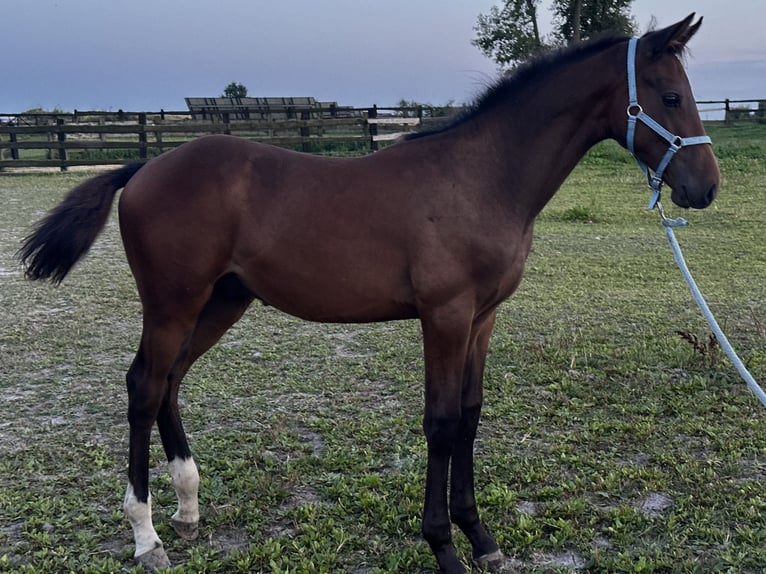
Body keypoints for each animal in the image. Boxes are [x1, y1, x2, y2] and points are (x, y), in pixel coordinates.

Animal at [18, 14, 719, 573]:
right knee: (143, 387)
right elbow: (441, 422)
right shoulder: (445, 316)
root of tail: (144, 166)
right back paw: (146, 536)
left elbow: (470, 416)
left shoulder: (483, 319)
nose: (704, 187)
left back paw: (188, 509)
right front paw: (443, 546)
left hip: (220, 302)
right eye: (670, 95)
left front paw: (481, 538)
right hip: (173, 303)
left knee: (169, 382)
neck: (480, 177)